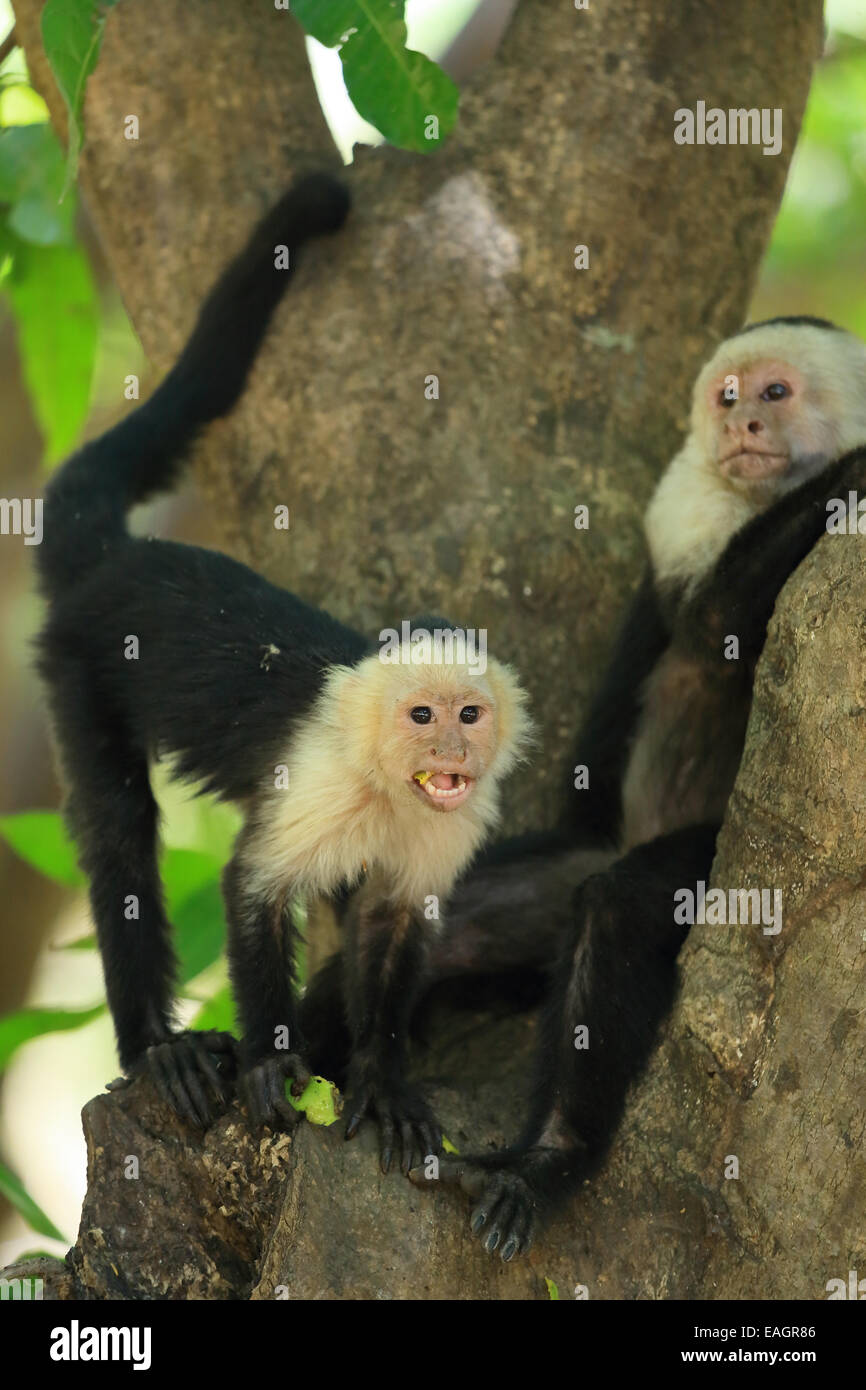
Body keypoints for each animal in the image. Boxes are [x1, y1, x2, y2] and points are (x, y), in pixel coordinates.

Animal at [33, 170, 530, 1173]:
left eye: (469, 715)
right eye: (422, 716)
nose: (453, 753)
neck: (386, 785)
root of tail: (119, 559)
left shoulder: (447, 831)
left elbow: (395, 922)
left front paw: (385, 1079)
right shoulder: (323, 781)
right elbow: (254, 891)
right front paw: (271, 1064)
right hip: (78, 664)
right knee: (119, 829)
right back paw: (158, 1049)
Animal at [301, 315, 866, 1262]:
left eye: (775, 393)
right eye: (728, 396)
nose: (741, 425)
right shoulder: (685, 497)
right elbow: (710, 619)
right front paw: (860, 472)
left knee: (618, 907)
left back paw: (548, 1158)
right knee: (455, 916)